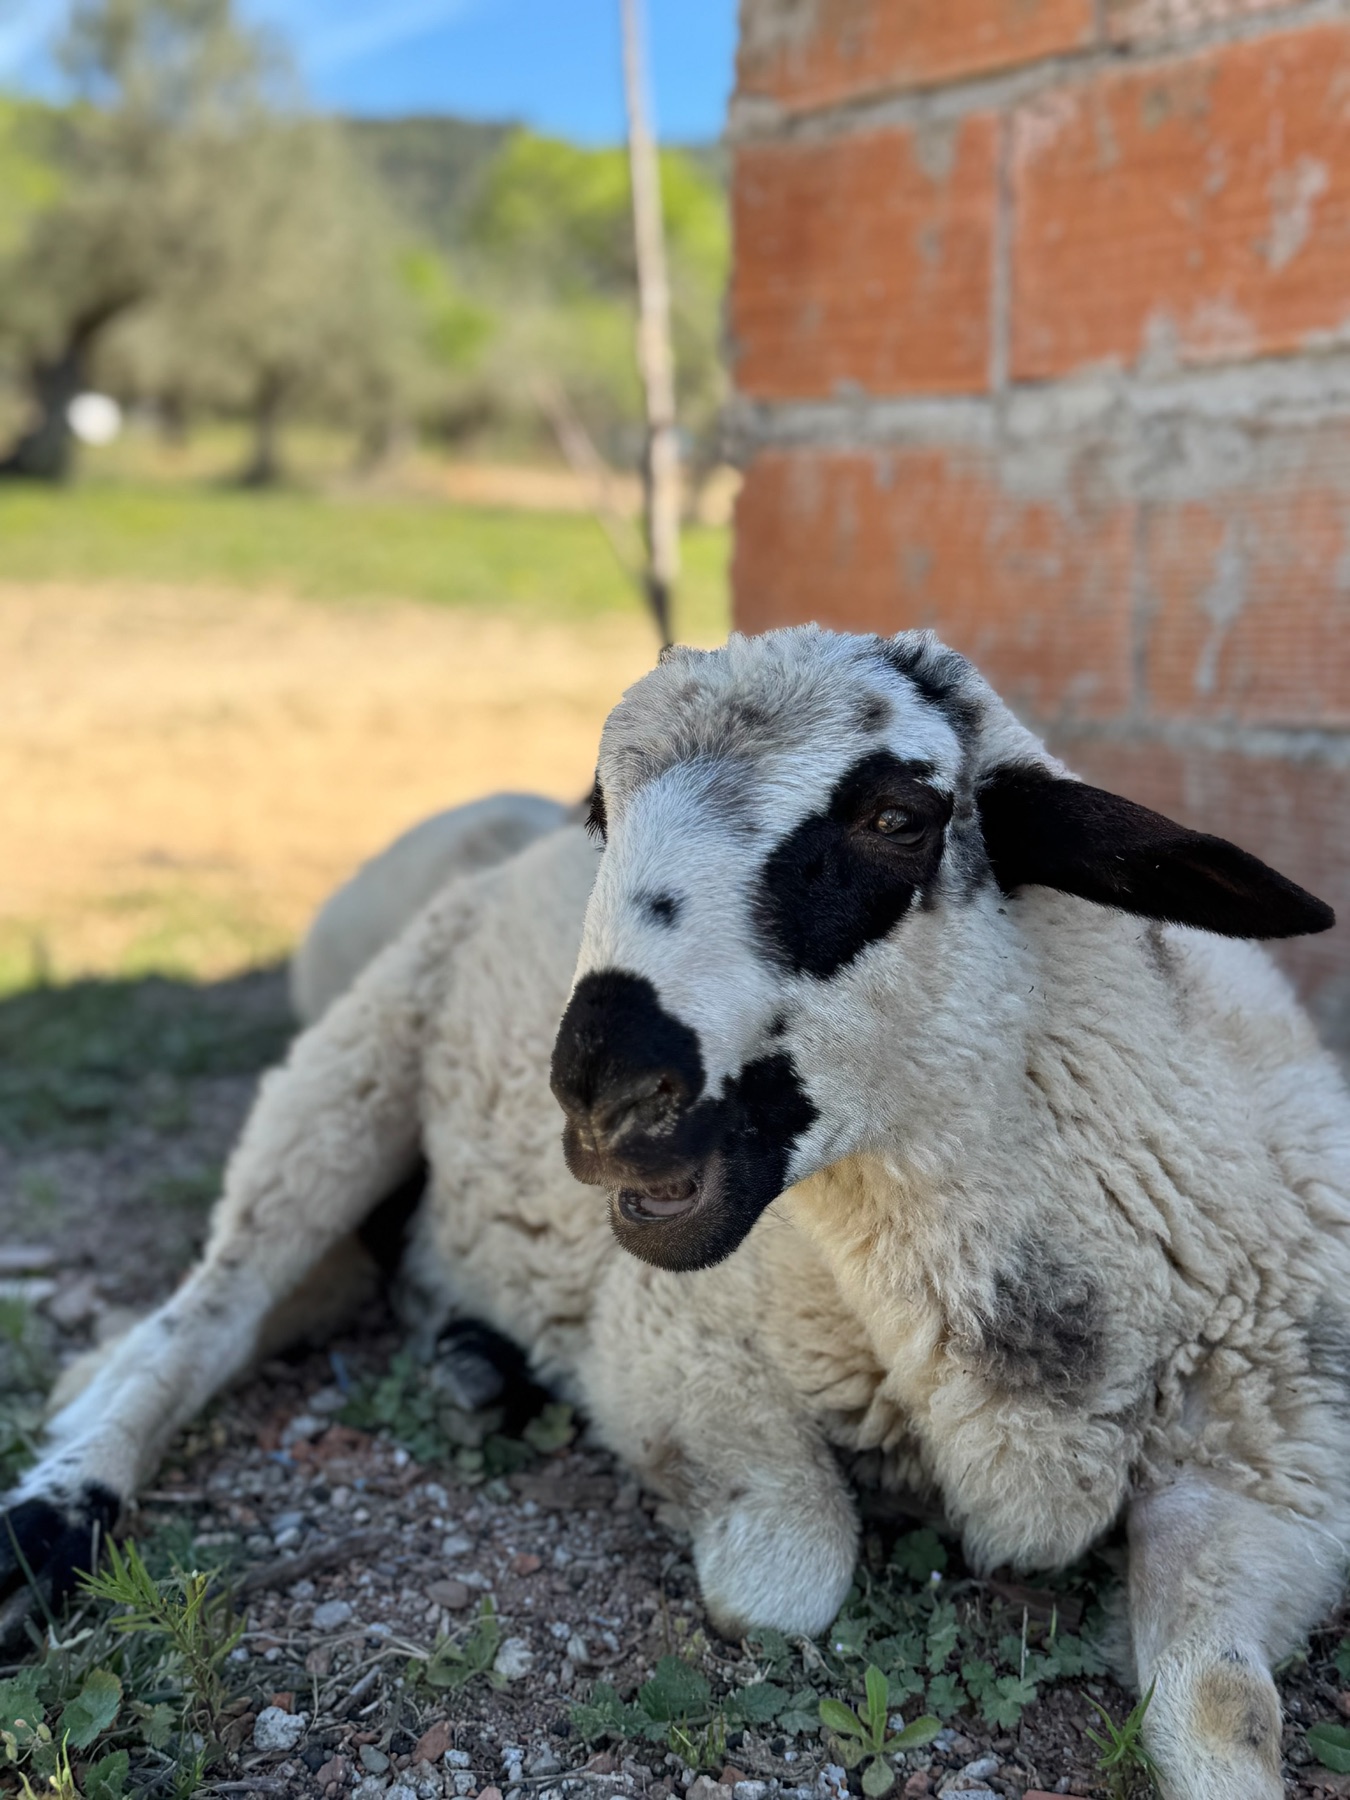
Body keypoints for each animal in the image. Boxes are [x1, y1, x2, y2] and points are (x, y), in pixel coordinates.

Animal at [3, 624, 1347, 1800]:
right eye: (603, 814)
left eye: (897, 819)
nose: (601, 1090)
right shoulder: (670, 1348)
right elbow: (792, 1575)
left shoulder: (1272, 1476)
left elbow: (1222, 1706)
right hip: (348, 1069)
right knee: (206, 1315)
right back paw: (51, 1521)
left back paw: (471, 1358)